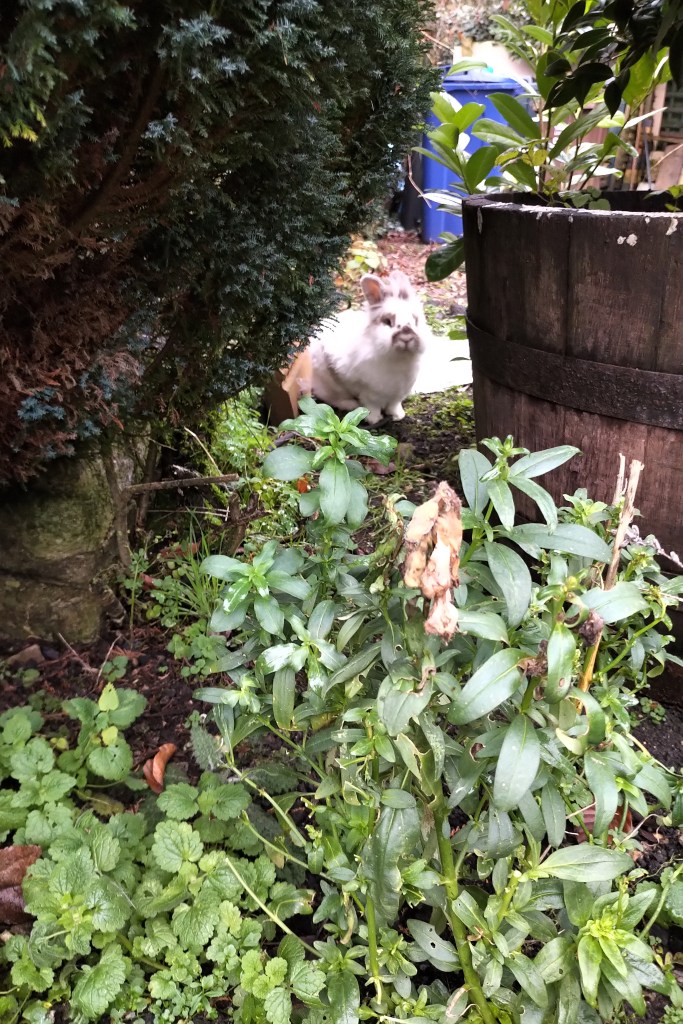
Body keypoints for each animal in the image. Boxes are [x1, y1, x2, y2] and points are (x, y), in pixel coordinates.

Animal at [308, 270, 430, 424]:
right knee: (334, 398)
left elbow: (394, 405)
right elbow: (372, 406)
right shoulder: (369, 392)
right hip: (329, 383)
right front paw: (374, 420)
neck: (399, 358)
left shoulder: (398, 393)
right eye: (387, 321)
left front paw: (398, 416)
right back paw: (351, 404)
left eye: (415, 320)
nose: (406, 337)